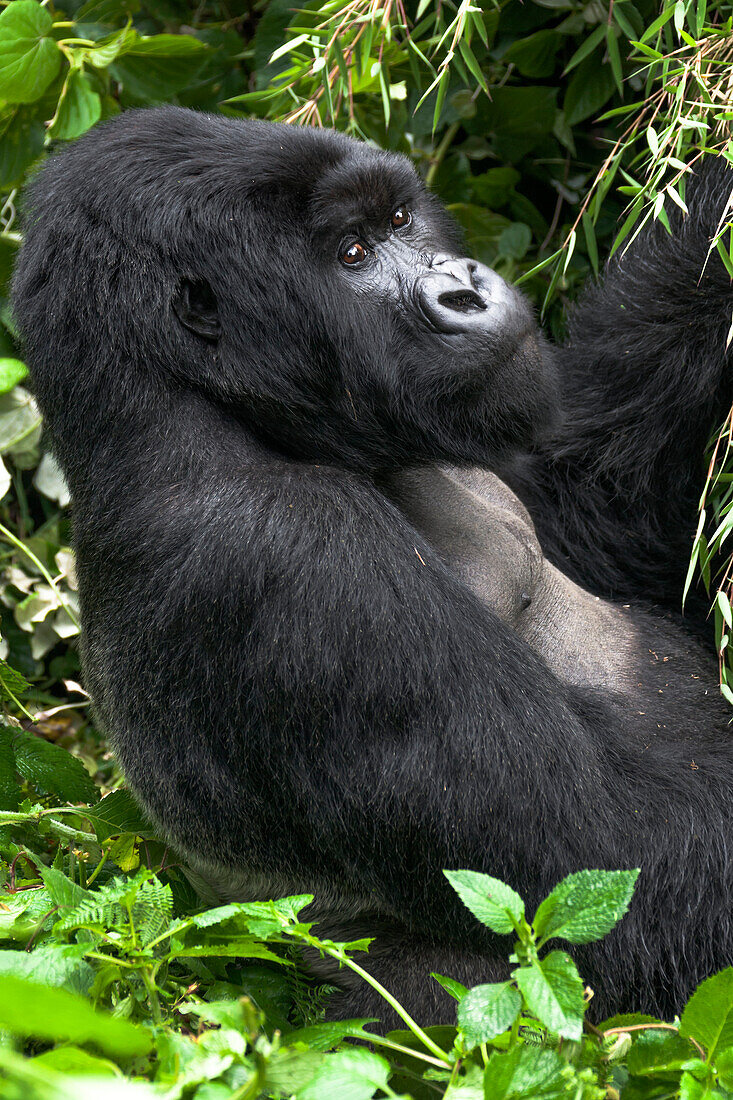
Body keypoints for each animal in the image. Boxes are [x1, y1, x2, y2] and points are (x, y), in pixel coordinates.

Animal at [12, 107, 733, 1025]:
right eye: (351, 254)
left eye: (397, 221)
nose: (463, 287)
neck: (176, 414)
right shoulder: (296, 555)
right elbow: (596, 876)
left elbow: (598, 494)